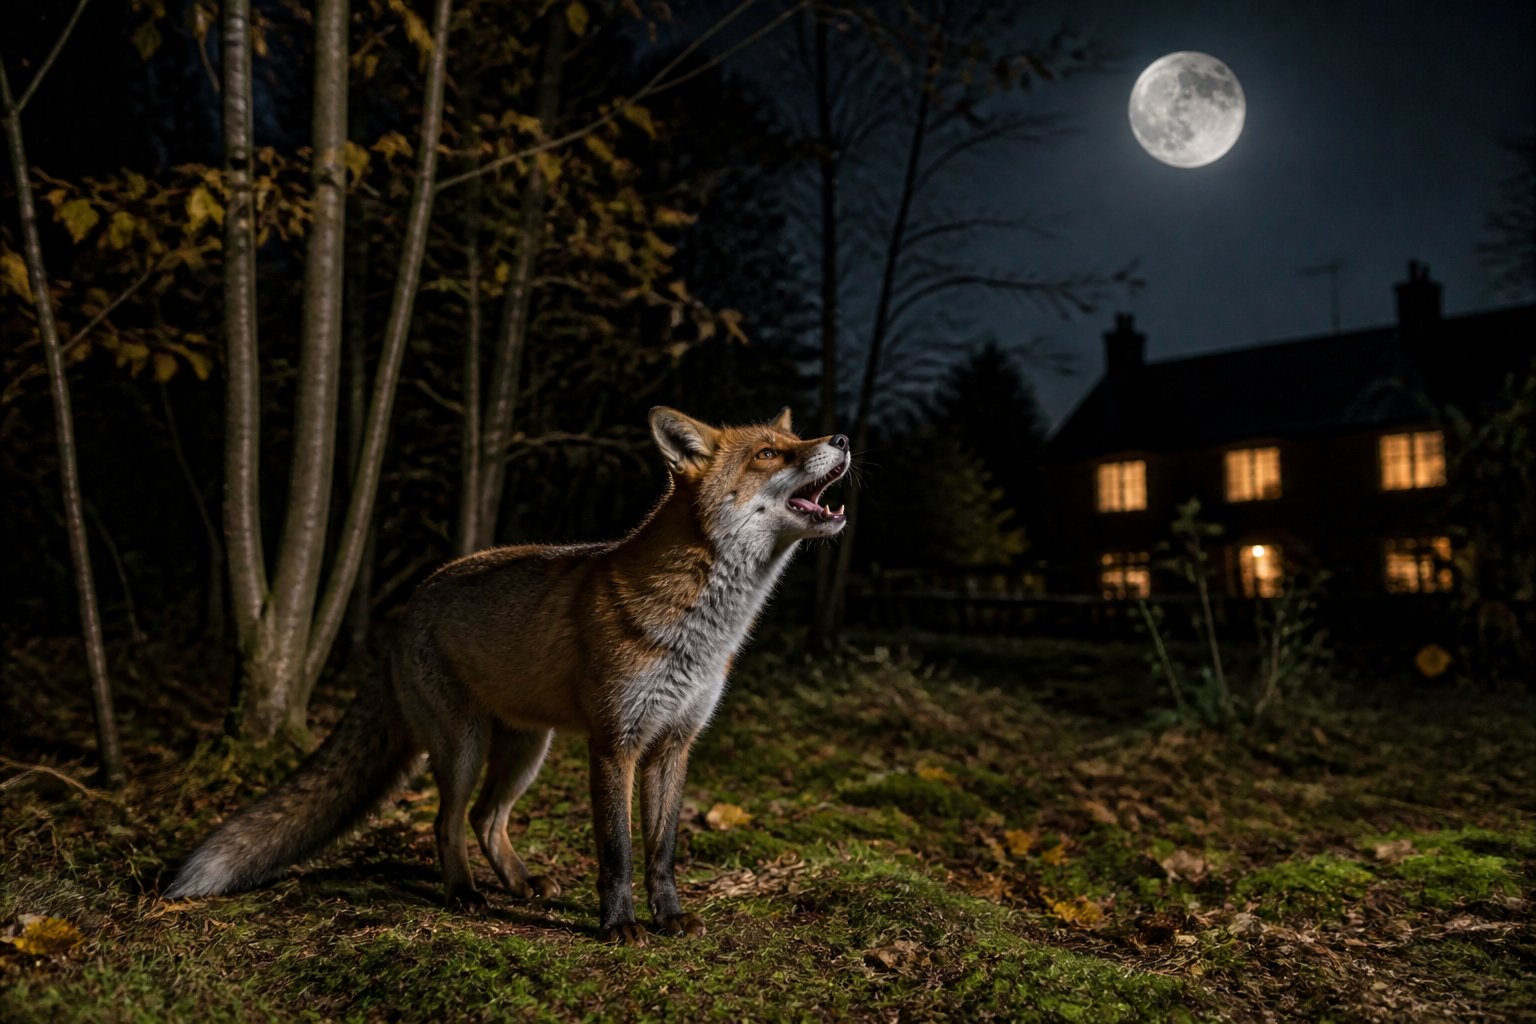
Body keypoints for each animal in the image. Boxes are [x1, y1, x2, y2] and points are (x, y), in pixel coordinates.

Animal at [164, 406, 850, 944]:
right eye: (769, 452)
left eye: (795, 439)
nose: (842, 438)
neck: (703, 633)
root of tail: (411, 602)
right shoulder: (616, 744)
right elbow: (618, 851)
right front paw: (617, 925)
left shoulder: (674, 743)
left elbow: (661, 851)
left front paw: (669, 918)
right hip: (464, 747)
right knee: (446, 821)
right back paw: (464, 893)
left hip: (527, 749)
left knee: (486, 820)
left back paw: (519, 883)